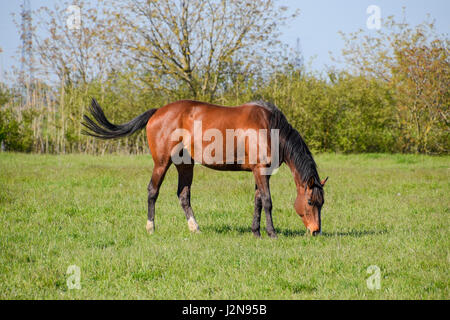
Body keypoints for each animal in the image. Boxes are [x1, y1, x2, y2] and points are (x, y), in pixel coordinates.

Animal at [81, 99, 326, 238]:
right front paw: (272, 233)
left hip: (185, 165)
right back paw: (151, 228)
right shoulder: (261, 170)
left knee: (183, 195)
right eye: (310, 202)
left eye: (322, 203)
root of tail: (158, 111)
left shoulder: (259, 172)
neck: (270, 127)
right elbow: (267, 201)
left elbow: (257, 201)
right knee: (153, 191)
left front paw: (256, 232)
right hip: (161, 163)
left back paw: (195, 228)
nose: (315, 231)